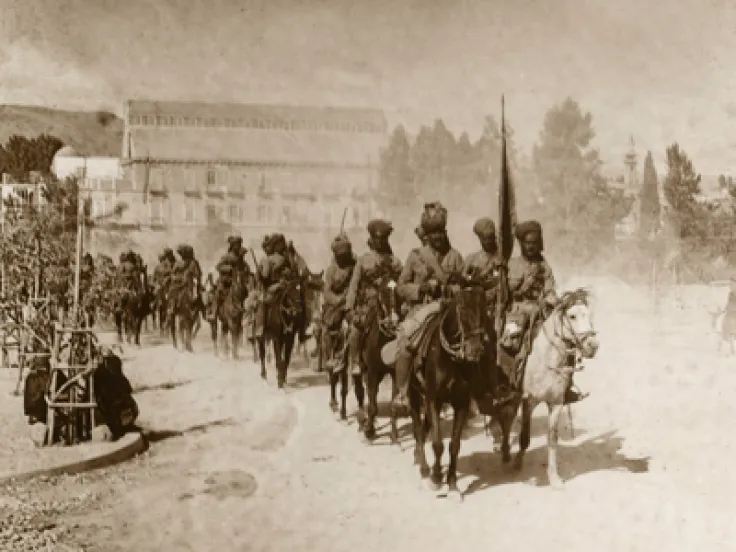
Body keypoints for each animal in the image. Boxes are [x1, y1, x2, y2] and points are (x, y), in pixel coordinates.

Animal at [408, 286, 488, 502]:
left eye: (485, 311)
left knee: (425, 429)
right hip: (414, 396)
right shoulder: (433, 400)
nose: (475, 350)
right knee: (418, 431)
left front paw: (452, 485)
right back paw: (425, 470)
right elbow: (437, 444)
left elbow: (454, 445)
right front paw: (436, 478)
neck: (450, 359)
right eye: (463, 310)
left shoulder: (461, 403)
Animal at [494, 288, 604, 488]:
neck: (546, 358)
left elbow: (552, 440)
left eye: (588, 315)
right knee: (506, 421)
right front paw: (518, 463)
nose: (592, 346)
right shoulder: (528, 401)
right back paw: (505, 454)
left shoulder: (556, 403)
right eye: (572, 316)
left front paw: (554, 477)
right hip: (511, 396)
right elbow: (524, 437)